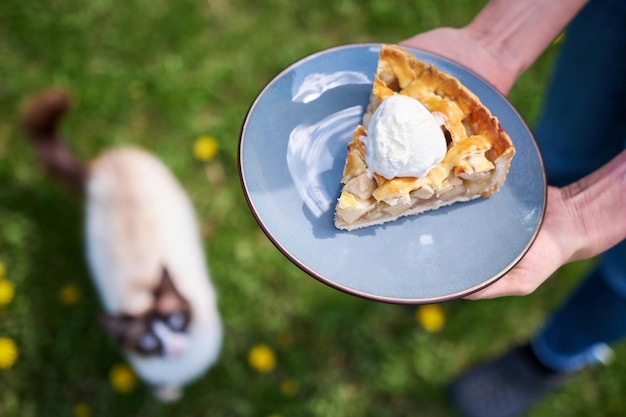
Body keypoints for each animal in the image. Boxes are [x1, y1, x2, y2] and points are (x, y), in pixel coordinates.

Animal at [22, 90, 222, 400]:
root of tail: (104, 163)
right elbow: (166, 384)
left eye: (176, 321)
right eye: (149, 341)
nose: (176, 349)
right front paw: (168, 393)